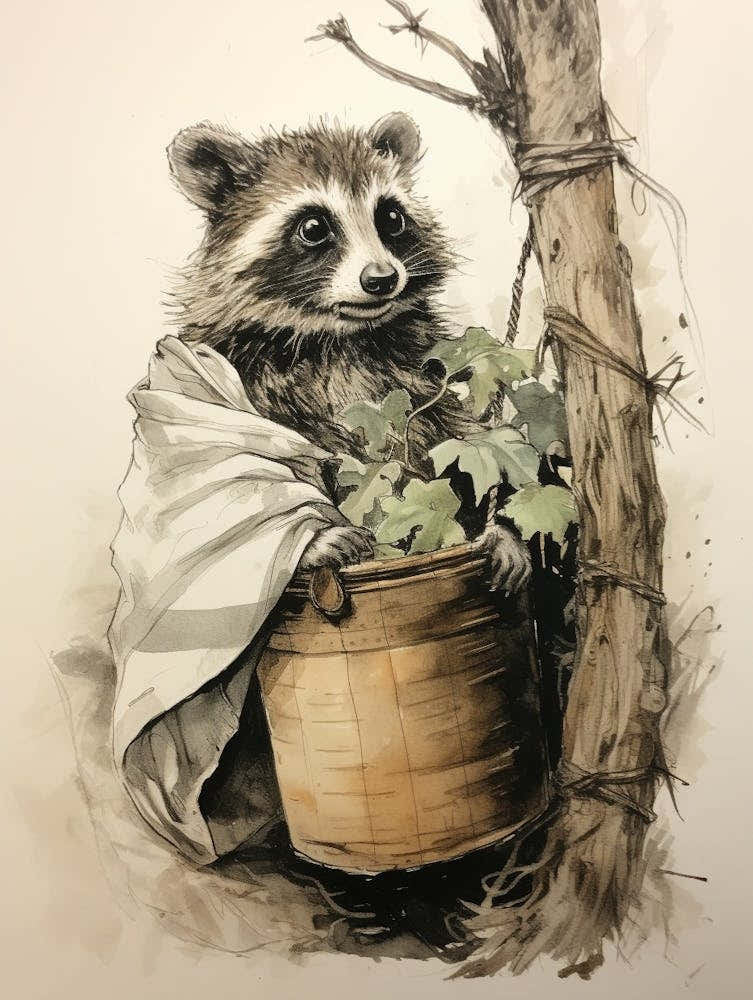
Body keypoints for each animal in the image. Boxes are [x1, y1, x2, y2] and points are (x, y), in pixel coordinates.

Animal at [167, 113, 530, 591]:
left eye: (391, 217)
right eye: (313, 227)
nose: (382, 279)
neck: (339, 336)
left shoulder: (417, 369)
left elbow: (457, 435)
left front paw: (500, 525)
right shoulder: (234, 371)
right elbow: (245, 473)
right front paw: (314, 541)